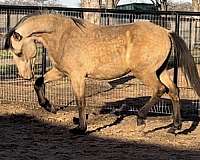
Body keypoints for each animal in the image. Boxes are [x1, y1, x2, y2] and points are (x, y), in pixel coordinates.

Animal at [4, 13, 200, 134]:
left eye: (18, 52)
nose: (24, 76)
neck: (62, 36)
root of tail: (166, 31)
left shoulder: (77, 76)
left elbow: (80, 101)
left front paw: (81, 128)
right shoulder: (61, 71)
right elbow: (39, 82)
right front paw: (49, 107)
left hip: (145, 72)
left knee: (160, 90)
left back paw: (141, 119)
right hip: (160, 71)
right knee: (174, 91)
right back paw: (175, 127)